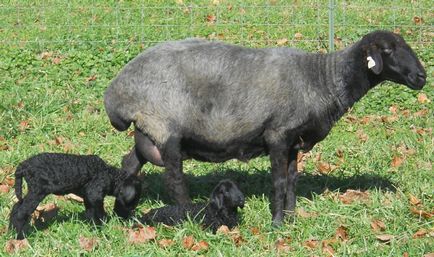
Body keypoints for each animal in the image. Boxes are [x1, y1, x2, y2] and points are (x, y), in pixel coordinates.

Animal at [8, 152, 142, 238]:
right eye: (133, 202)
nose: (128, 219)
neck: (110, 175)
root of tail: (23, 166)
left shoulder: (88, 197)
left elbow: (90, 213)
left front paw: (93, 228)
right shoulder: (95, 194)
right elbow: (99, 213)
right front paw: (102, 227)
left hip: (33, 191)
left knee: (16, 208)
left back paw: (11, 231)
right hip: (37, 192)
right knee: (21, 213)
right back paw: (20, 237)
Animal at [104, 31, 428, 225]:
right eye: (388, 50)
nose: (422, 77)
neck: (322, 79)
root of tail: (115, 94)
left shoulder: (294, 142)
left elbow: (293, 180)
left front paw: (293, 217)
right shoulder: (277, 136)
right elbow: (279, 181)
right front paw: (277, 223)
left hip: (147, 132)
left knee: (129, 165)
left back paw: (123, 214)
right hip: (165, 129)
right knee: (175, 181)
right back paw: (189, 217)